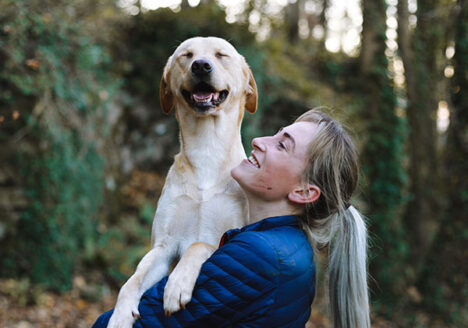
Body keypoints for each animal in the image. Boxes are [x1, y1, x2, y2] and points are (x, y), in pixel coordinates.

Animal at [107, 37, 258, 326]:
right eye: (186, 55)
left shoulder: (231, 239)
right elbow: (132, 281)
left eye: (221, 55)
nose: (200, 65)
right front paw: (120, 316)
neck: (206, 150)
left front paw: (177, 285)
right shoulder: (163, 247)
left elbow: (200, 244)